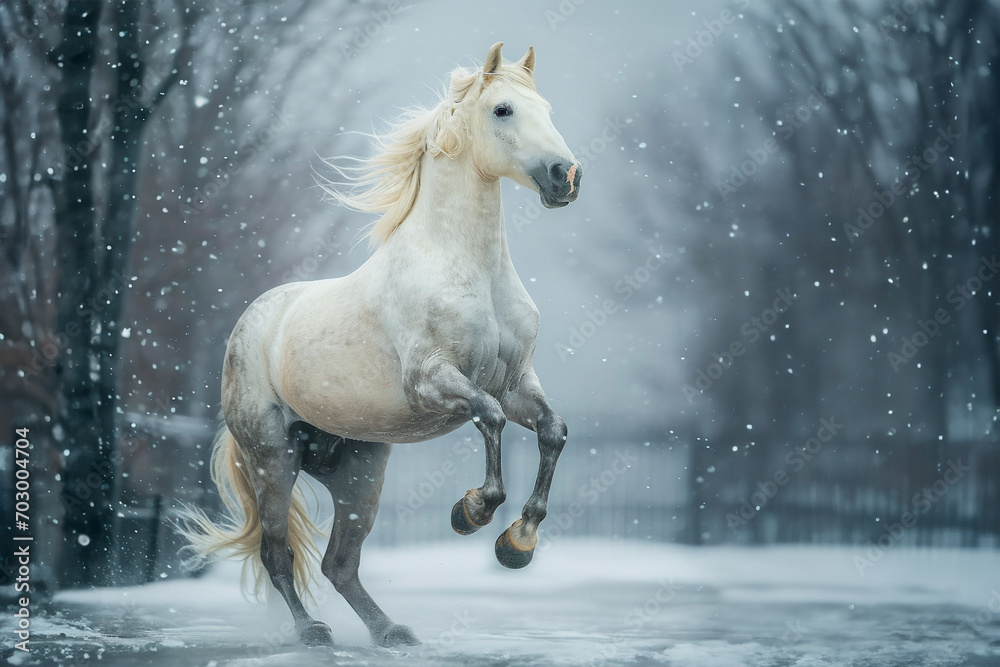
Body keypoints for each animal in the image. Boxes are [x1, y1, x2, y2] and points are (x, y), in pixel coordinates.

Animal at [182, 41, 580, 648]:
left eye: (548, 108)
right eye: (503, 109)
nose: (566, 176)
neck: (467, 266)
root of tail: (250, 323)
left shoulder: (516, 383)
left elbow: (552, 432)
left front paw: (517, 545)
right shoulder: (433, 380)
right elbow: (488, 417)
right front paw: (472, 512)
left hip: (359, 471)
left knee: (339, 564)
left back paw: (391, 631)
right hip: (272, 458)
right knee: (277, 554)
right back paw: (313, 632)